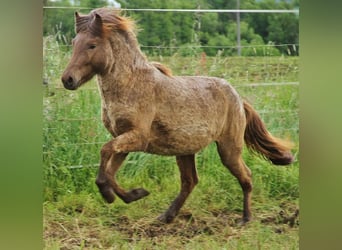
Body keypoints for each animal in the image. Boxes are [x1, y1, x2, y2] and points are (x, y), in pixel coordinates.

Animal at [60, 7, 292, 224]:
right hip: (185, 150)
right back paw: (167, 216)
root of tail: (238, 98)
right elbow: (109, 171)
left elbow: (105, 156)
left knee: (245, 176)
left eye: (92, 45)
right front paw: (130, 195)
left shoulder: (137, 138)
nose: (67, 79)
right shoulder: (123, 139)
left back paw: (245, 218)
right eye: (74, 42)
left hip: (229, 149)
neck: (131, 85)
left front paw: (121, 195)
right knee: (190, 181)